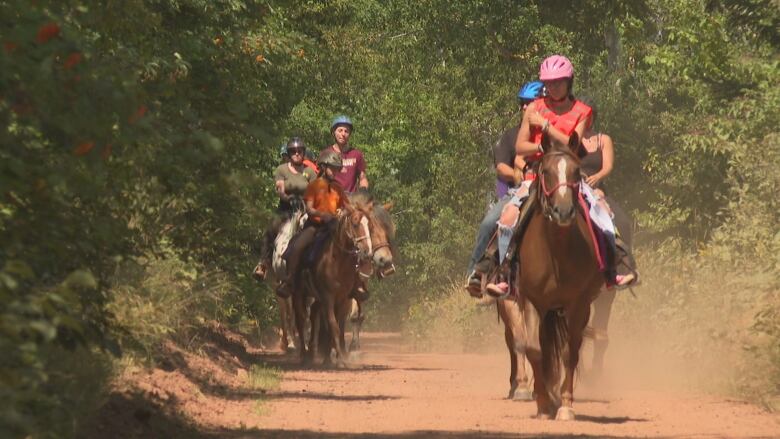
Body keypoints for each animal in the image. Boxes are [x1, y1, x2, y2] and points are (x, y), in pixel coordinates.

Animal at [512, 132, 604, 422]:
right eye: (547, 172)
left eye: (576, 171)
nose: (563, 212)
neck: (556, 253)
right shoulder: (531, 301)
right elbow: (534, 349)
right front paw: (543, 405)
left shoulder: (578, 304)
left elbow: (569, 352)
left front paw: (565, 405)